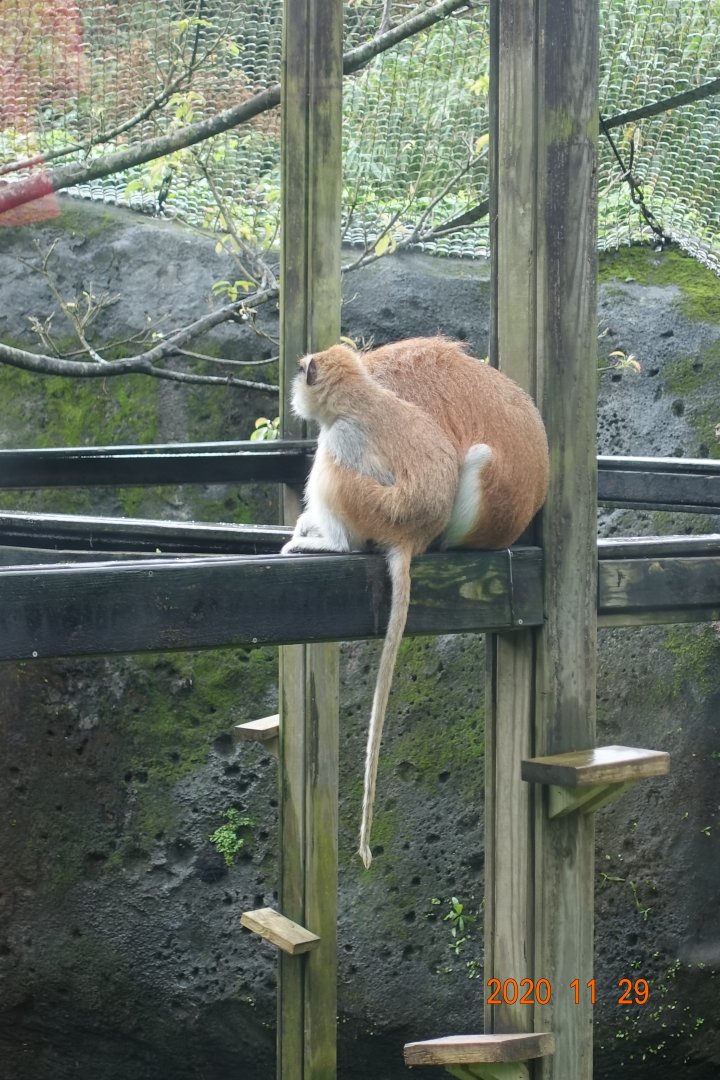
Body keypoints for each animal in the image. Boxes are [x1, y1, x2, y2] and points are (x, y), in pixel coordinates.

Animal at [281, 343, 460, 868]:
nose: (295, 389)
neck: (359, 394)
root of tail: (411, 538)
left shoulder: (345, 436)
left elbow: (342, 460)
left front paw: (314, 535)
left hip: (377, 508)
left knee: (331, 474)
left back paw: (329, 542)